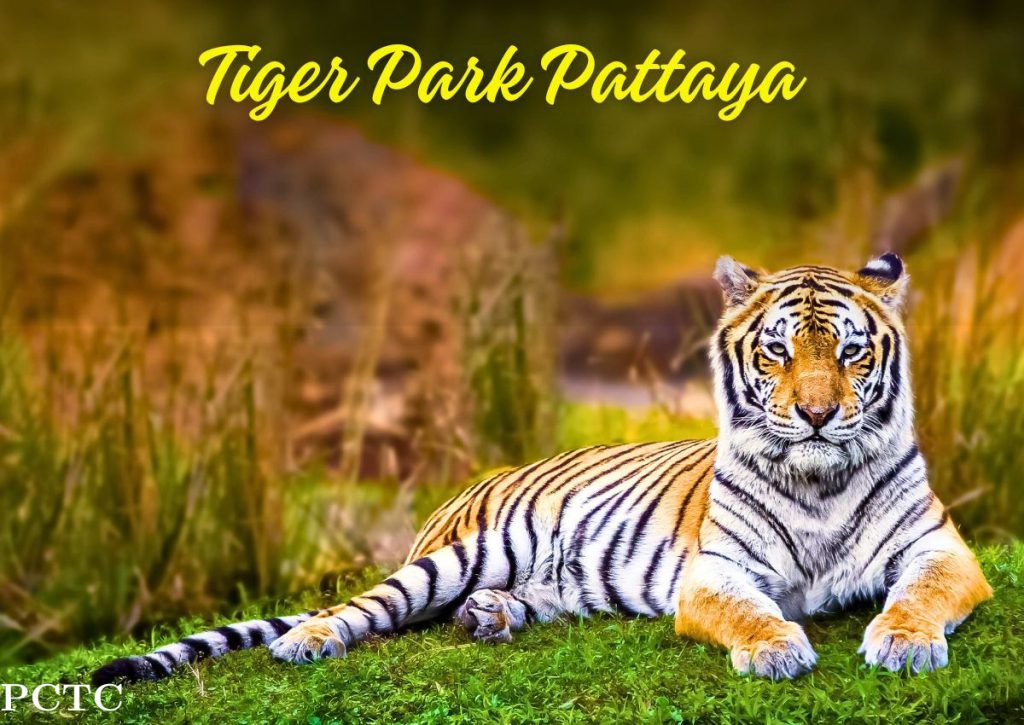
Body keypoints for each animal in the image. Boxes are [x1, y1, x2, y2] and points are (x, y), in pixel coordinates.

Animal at [93, 253, 992, 685]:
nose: (815, 413)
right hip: (458, 554)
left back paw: (490, 617)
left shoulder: (943, 548)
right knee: (366, 606)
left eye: (849, 351)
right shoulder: (718, 570)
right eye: (777, 352)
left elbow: (919, 594)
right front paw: (776, 649)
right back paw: (309, 640)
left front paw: (904, 643)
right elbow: (748, 610)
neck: (819, 478)